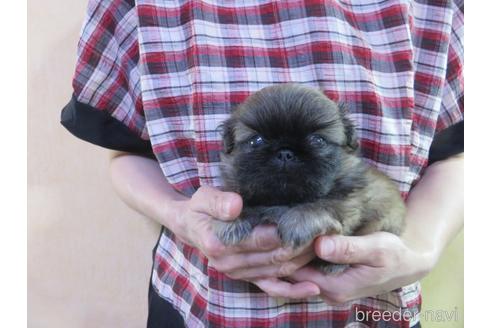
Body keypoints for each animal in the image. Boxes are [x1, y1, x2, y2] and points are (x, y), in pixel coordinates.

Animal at [213, 83, 406, 272]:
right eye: (256, 140)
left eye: (317, 140)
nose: (285, 153)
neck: (287, 201)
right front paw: (231, 221)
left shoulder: (347, 202)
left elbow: (321, 205)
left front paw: (299, 221)